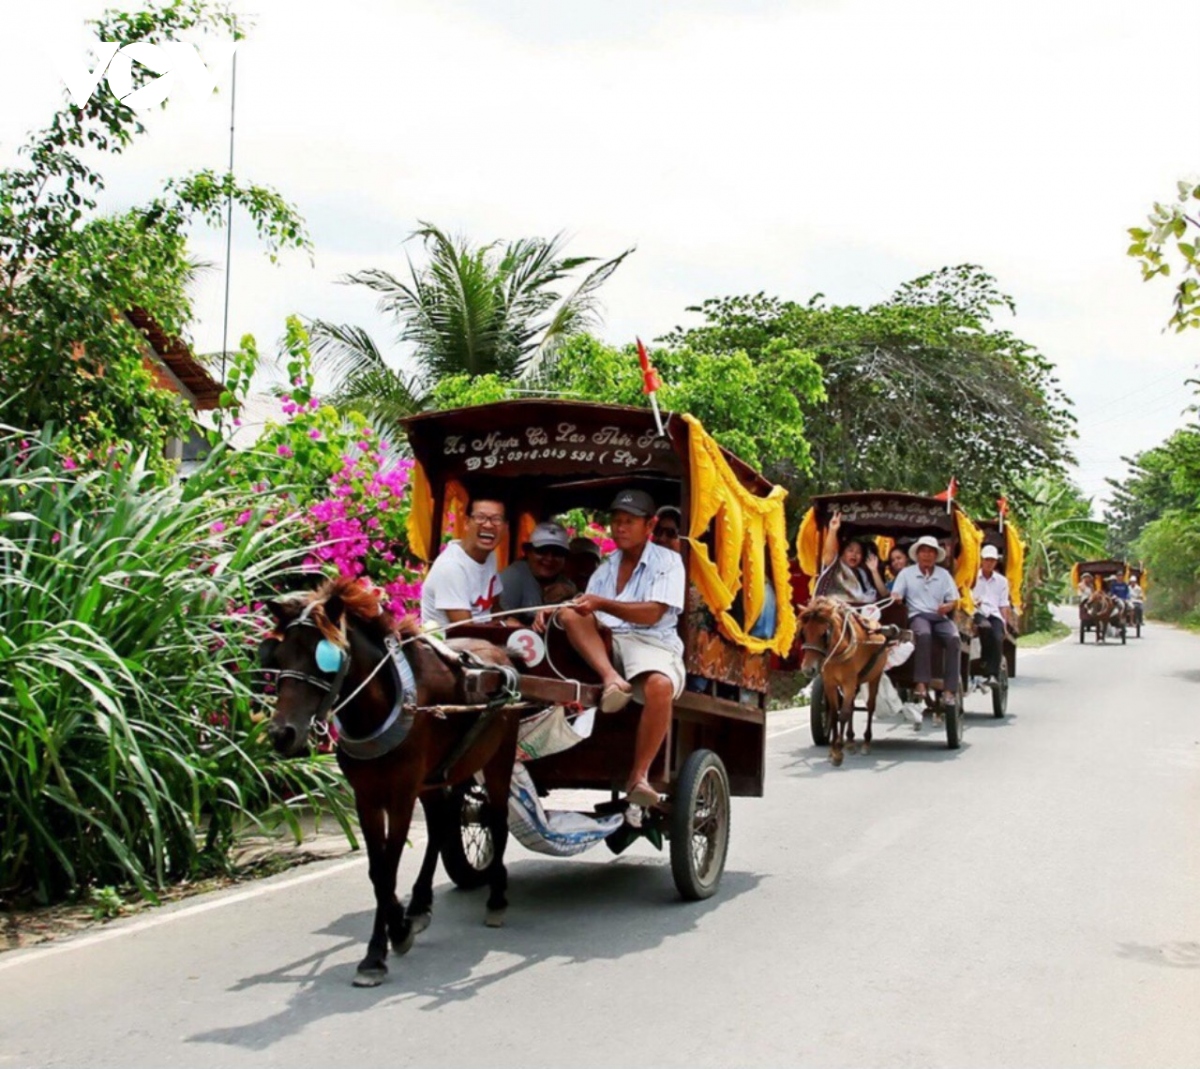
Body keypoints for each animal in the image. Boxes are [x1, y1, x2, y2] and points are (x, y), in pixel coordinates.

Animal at [260, 580, 523, 988]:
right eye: (279, 655)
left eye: (325, 658)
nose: (282, 734)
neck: (381, 704)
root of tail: (501, 651)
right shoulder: (366, 798)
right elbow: (377, 870)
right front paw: (394, 929)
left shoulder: (401, 794)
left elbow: (388, 866)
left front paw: (384, 944)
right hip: (444, 773)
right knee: (443, 823)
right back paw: (420, 905)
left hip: (497, 757)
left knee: (495, 818)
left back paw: (496, 897)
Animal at [796, 597, 892, 763]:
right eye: (803, 633)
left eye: (824, 634)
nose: (808, 669)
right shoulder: (830, 683)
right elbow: (835, 714)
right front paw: (835, 747)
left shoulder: (849, 682)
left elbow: (844, 714)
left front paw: (838, 750)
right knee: (852, 706)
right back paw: (850, 740)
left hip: (875, 676)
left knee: (870, 706)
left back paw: (866, 742)